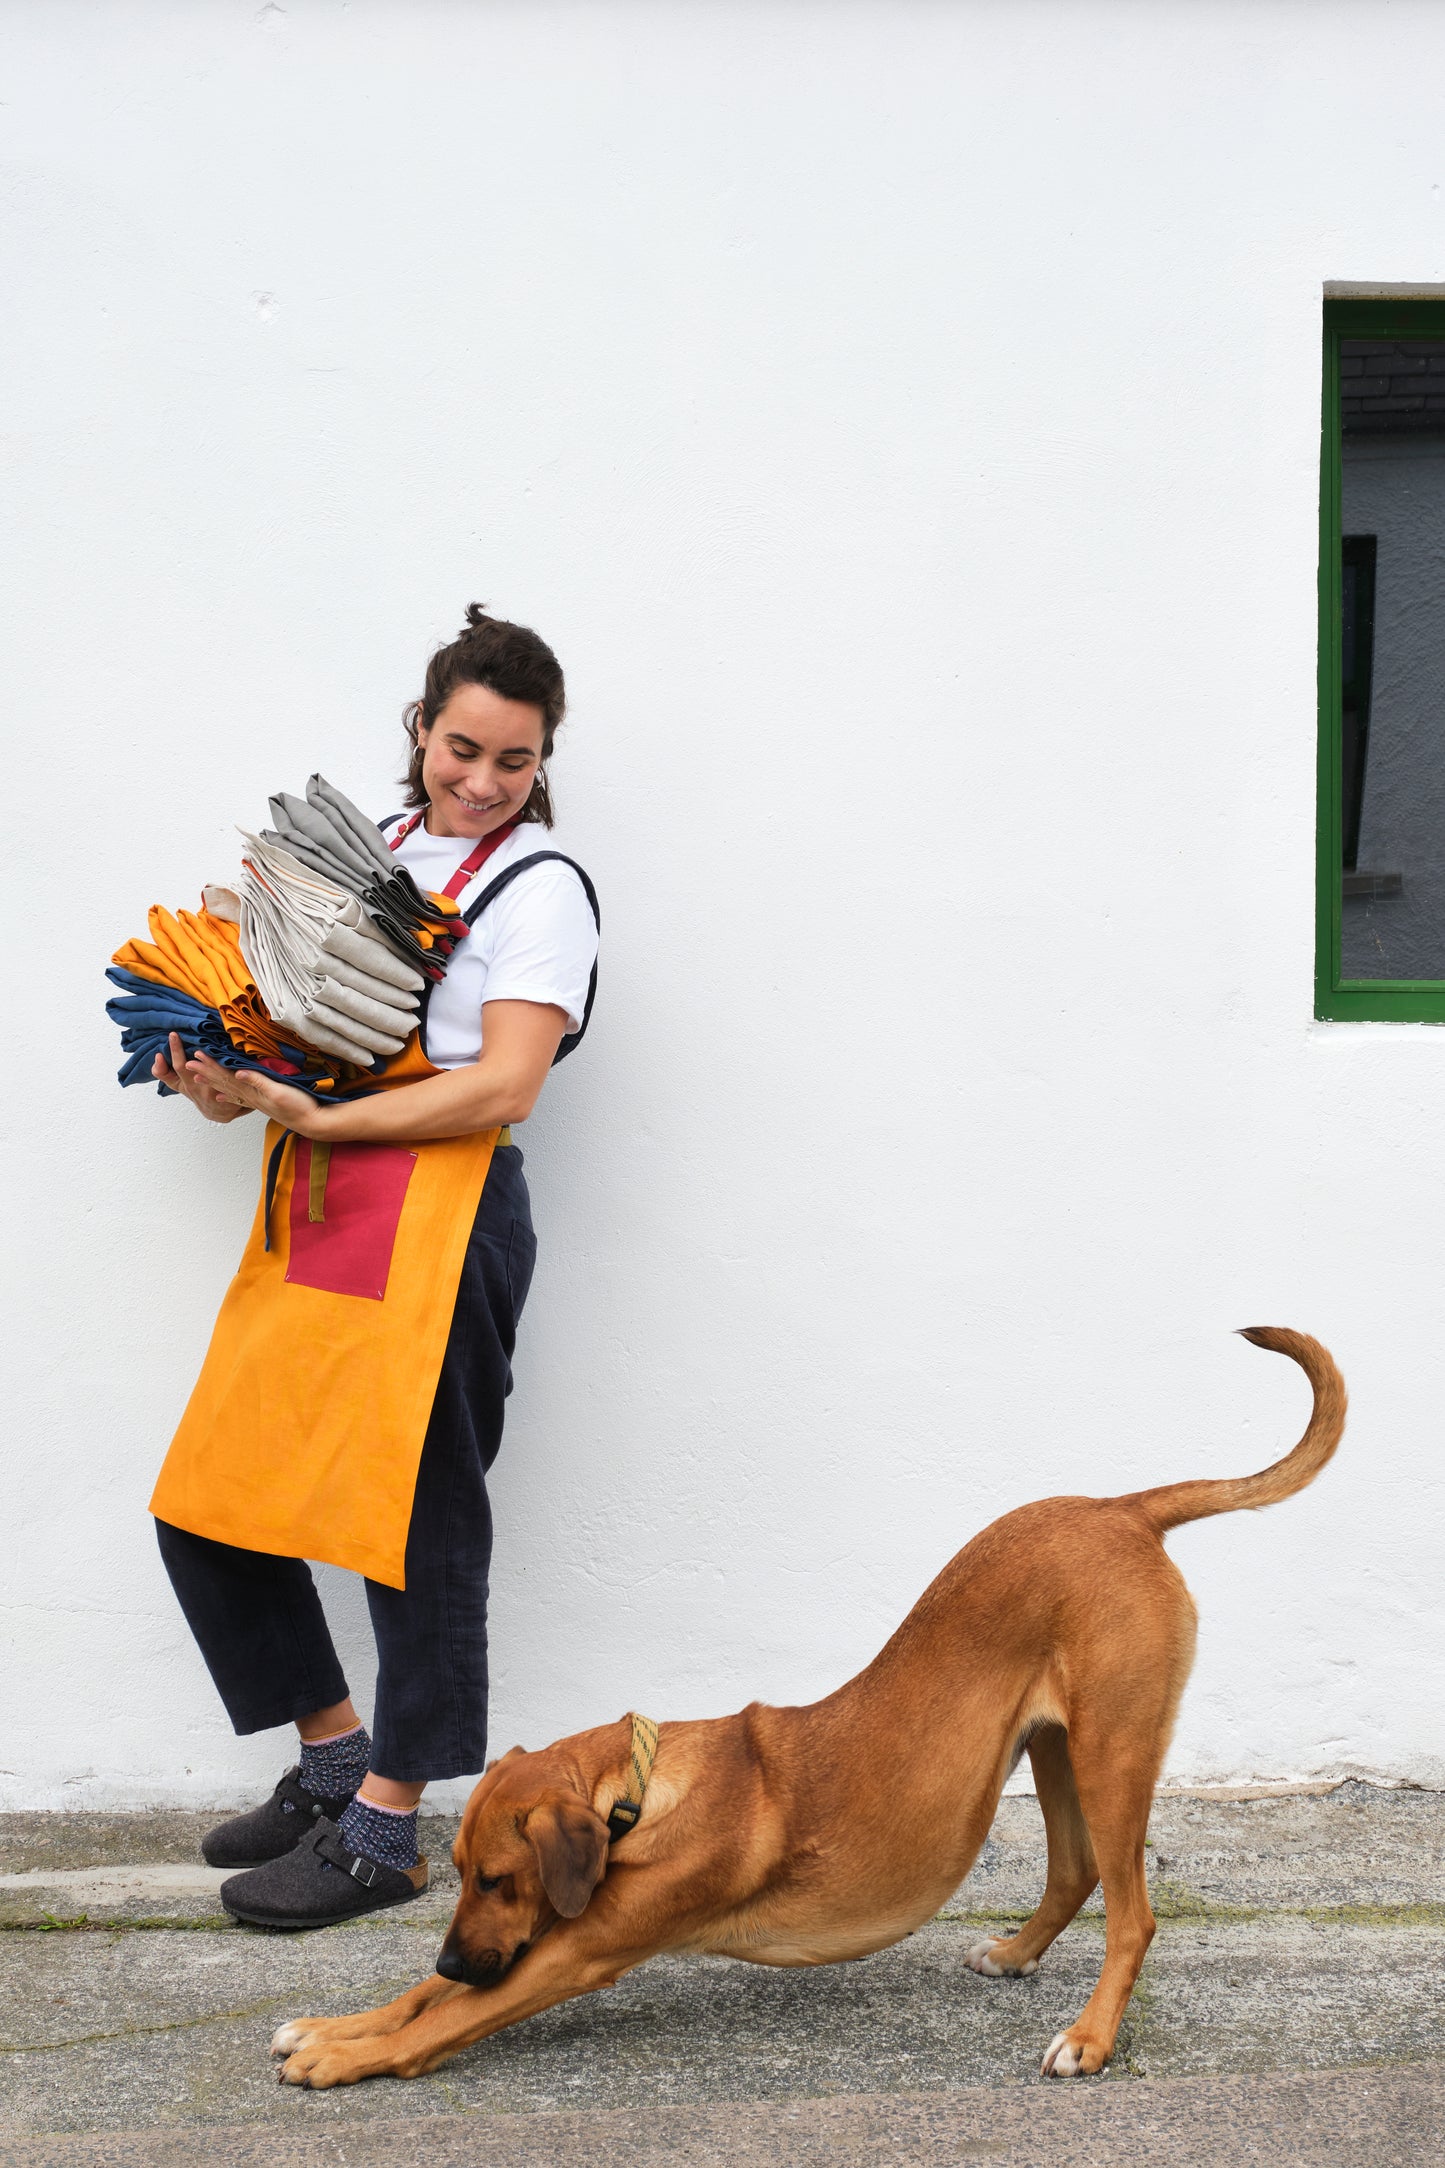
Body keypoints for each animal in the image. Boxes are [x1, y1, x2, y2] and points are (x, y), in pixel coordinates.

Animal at [268, 1326, 1343, 2089]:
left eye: (497, 1878)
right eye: (456, 1876)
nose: (459, 1954)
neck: (637, 1794)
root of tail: (1123, 1509)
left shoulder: (573, 1950)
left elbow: (445, 2019)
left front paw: (343, 2057)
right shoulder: (536, 1941)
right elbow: (416, 1998)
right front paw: (334, 2022)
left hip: (1113, 1749)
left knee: (1132, 1915)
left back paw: (1089, 2038)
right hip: (1053, 1747)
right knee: (1076, 1870)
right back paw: (1015, 1956)